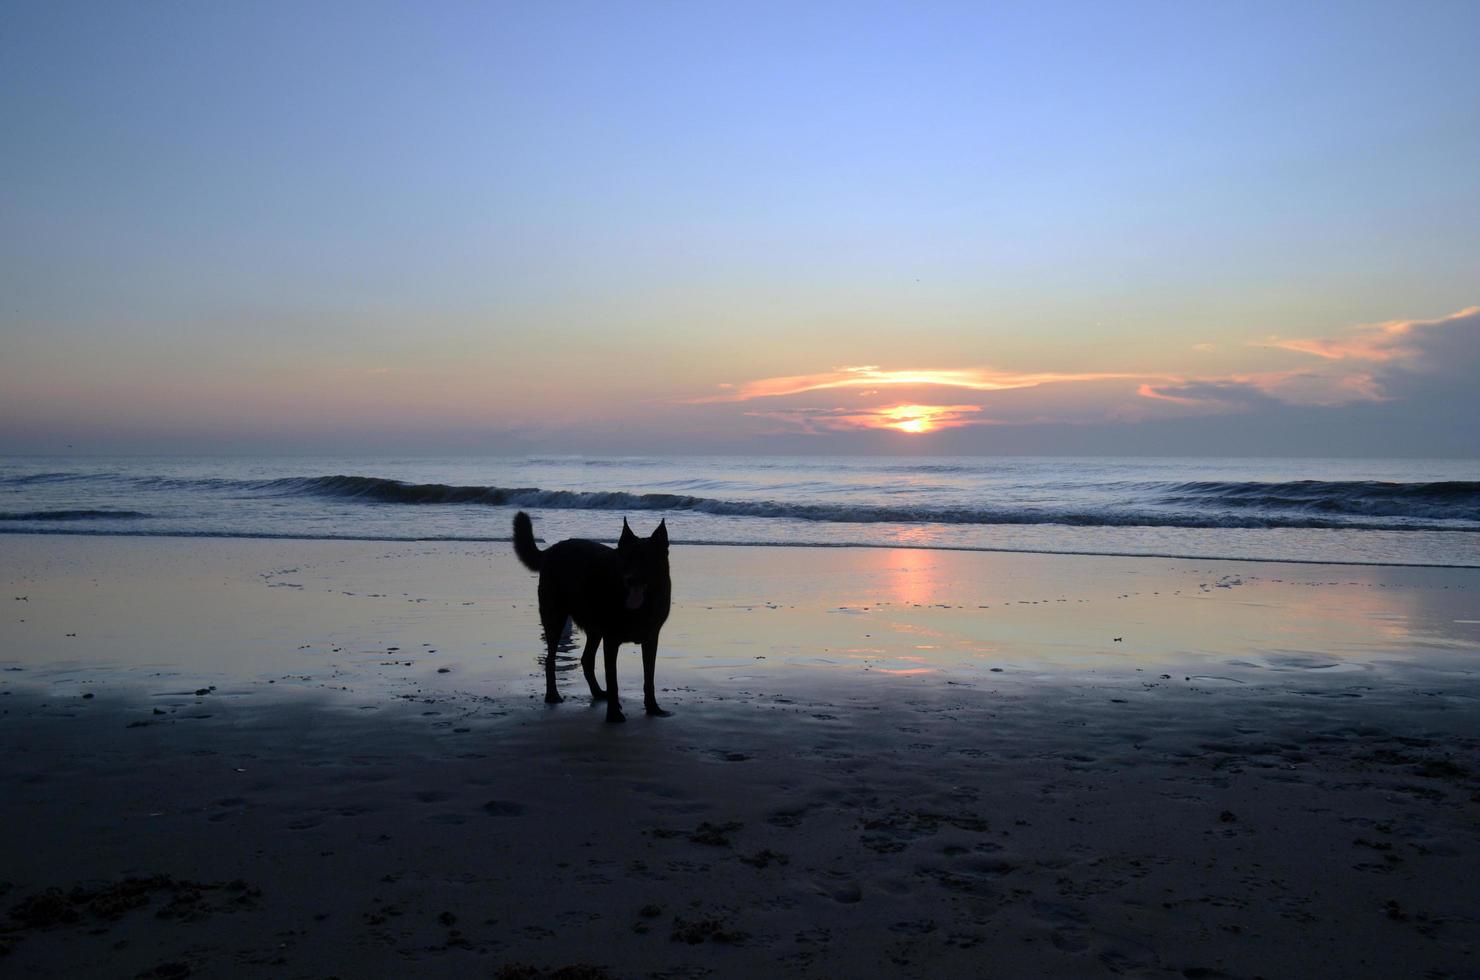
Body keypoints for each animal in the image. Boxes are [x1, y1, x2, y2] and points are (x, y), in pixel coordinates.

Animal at [509, 509, 671, 725]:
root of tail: (550, 551)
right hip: (555, 620)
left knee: (586, 660)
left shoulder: (651, 639)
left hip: (594, 629)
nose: (631, 579)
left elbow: (649, 677)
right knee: (551, 660)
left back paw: (598, 692)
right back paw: (552, 695)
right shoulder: (611, 640)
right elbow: (613, 680)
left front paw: (652, 708)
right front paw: (614, 715)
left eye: (647, 560)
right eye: (626, 559)